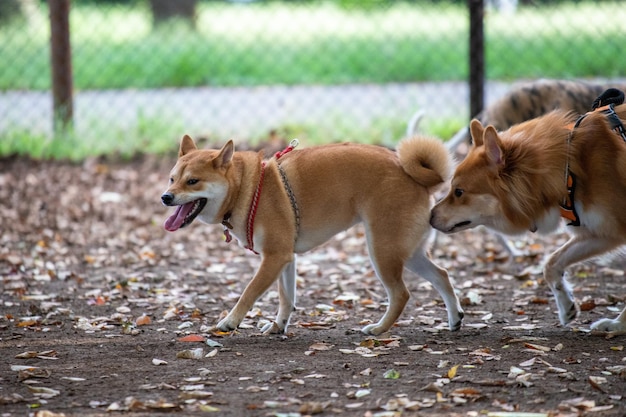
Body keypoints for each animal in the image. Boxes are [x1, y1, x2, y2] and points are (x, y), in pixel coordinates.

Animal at [161, 135, 464, 336]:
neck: (247, 189)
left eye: (192, 181)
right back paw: (454, 319)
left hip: (382, 251)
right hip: (407, 252)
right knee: (442, 275)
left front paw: (230, 321)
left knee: (401, 294)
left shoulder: (273, 258)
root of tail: (415, 176)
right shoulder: (285, 258)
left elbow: (250, 291)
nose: (166, 197)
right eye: (172, 178)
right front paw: (278, 326)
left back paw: (378, 329)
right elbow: (286, 298)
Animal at [428, 93, 624, 332]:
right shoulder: (601, 232)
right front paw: (567, 306)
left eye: (458, 191)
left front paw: (618, 324)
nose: (429, 216)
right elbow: (551, 263)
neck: (570, 167)